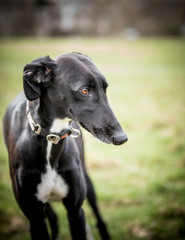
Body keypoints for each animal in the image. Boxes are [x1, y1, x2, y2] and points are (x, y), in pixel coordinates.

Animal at [3, 53, 127, 240]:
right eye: (85, 90)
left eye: (105, 88)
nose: (122, 138)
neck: (51, 139)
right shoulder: (34, 217)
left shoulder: (75, 212)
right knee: (53, 219)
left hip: (87, 182)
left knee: (99, 218)